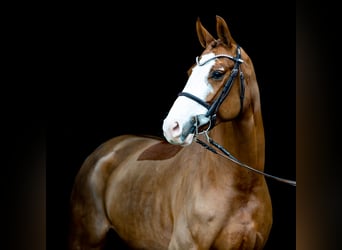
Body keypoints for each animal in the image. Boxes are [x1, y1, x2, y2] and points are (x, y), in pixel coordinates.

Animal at [68, 16, 282, 250]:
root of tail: (104, 151)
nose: (172, 126)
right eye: (190, 72)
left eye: (217, 73)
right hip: (85, 241)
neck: (241, 186)